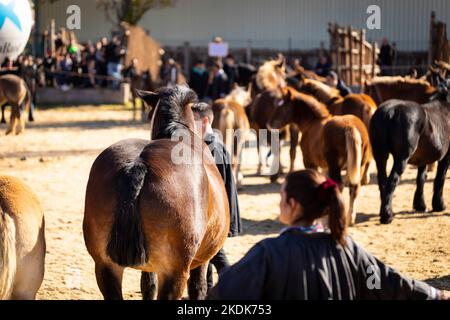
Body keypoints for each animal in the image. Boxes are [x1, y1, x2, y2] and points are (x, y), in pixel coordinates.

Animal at [83, 85, 230, 300]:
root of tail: (139, 162)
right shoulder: (201, 260)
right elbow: (198, 288)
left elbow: (148, 285)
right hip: (175, 273)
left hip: (105, 267)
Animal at [268, 86, 370, 224]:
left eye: (284, 107)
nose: (270, 124)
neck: (312, 122)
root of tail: (349, 126)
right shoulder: (325, 167)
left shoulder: (309, 162)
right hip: (360, 165)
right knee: (354, 187)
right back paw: (350, 218)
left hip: (335, 166)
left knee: (339, 185)